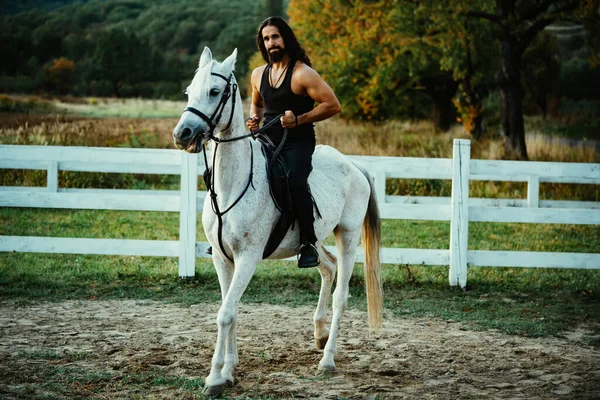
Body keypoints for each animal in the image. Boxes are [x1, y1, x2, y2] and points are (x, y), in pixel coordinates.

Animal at [171, 47, 382, 396]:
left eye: (214, 91)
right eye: (189, 91)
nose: (182, 134)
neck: (232, 185)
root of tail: (354, 165)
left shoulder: (248, 257)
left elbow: (225, 313)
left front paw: (214, 378)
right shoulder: (222, 258)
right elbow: (231, 310)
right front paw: (229, 370)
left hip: (348, 236)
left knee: (341, 295)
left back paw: (327, 359)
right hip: (313, 240)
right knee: (327, 267)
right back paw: (319, 333)